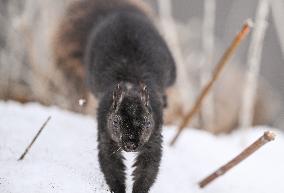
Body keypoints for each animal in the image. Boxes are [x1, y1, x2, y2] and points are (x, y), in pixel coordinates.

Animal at [53, 0, 175, 192]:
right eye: (116, 122)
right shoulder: (105, 127)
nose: (131, 144)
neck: (131, 85)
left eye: (147, 123)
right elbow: (111, 163)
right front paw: (118, 188)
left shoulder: (154, 131)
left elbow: (149, 164)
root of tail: (118, 11)